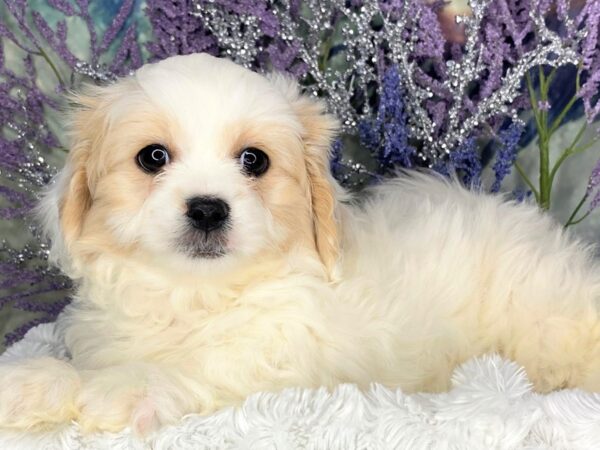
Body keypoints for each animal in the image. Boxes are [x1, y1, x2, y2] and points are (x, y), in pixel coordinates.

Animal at [1, 51, 600, 432]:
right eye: (152, 157)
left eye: (254, 161)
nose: (207, 208)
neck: (194, 295)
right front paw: (29, 385)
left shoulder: (285, 358)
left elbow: (208, 366)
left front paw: (126, 388)